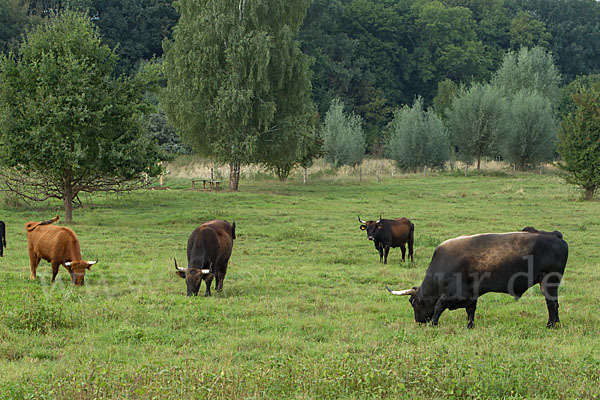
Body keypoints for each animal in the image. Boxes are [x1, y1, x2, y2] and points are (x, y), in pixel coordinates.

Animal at [386, 228, 568, 328]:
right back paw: (556, 323)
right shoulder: (470, 294)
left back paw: (550, 325)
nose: (419, 322)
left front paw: (434, 324)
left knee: (551, 304)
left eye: (414, 303)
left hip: (549, 282)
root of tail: (554, 235)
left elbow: (438, 306)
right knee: (555, 304)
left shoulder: (452, 293)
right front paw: (470, 326)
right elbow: (471, 311)